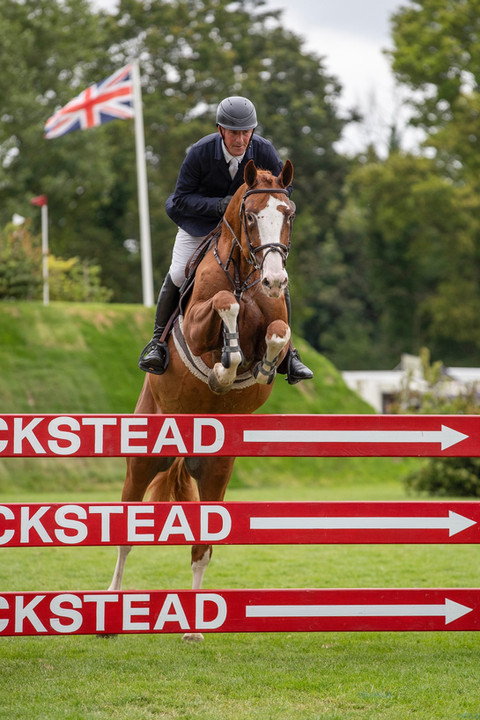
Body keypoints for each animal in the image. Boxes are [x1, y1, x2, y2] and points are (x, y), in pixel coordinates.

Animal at [108, 159, 295, 640]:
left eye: (288, 214)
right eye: (251, 216)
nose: (275, 280)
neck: (247, 273)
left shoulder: (275, 320)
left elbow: (277, 332)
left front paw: (259, 368)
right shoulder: (196, 322)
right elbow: (226, 302)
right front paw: (223, 368)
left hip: (215, 470)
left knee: (202, 547)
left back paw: (193, 627)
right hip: (143, 462)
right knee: (125, 534)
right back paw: (110, 616)